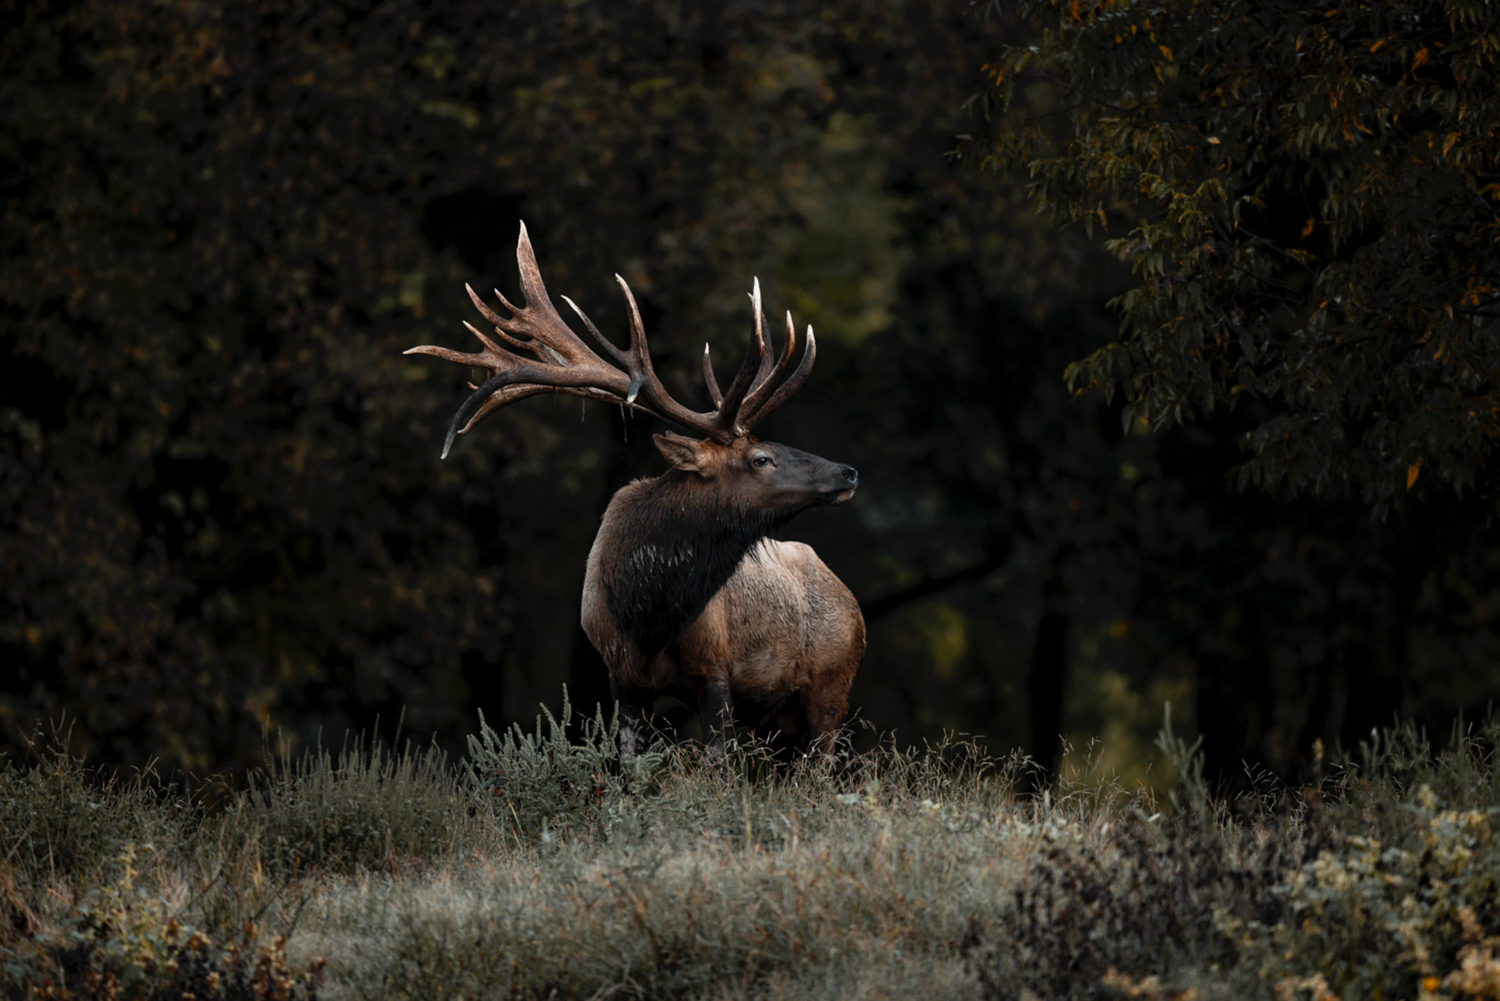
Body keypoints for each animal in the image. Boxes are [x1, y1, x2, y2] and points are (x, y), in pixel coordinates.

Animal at [406, 223, 864, 761]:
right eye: (760, 458)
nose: (848, 473)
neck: (645, 610)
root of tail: (852, 604)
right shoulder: (621, 678)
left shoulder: (715, 668)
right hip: (783, 718)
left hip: (831, 689)